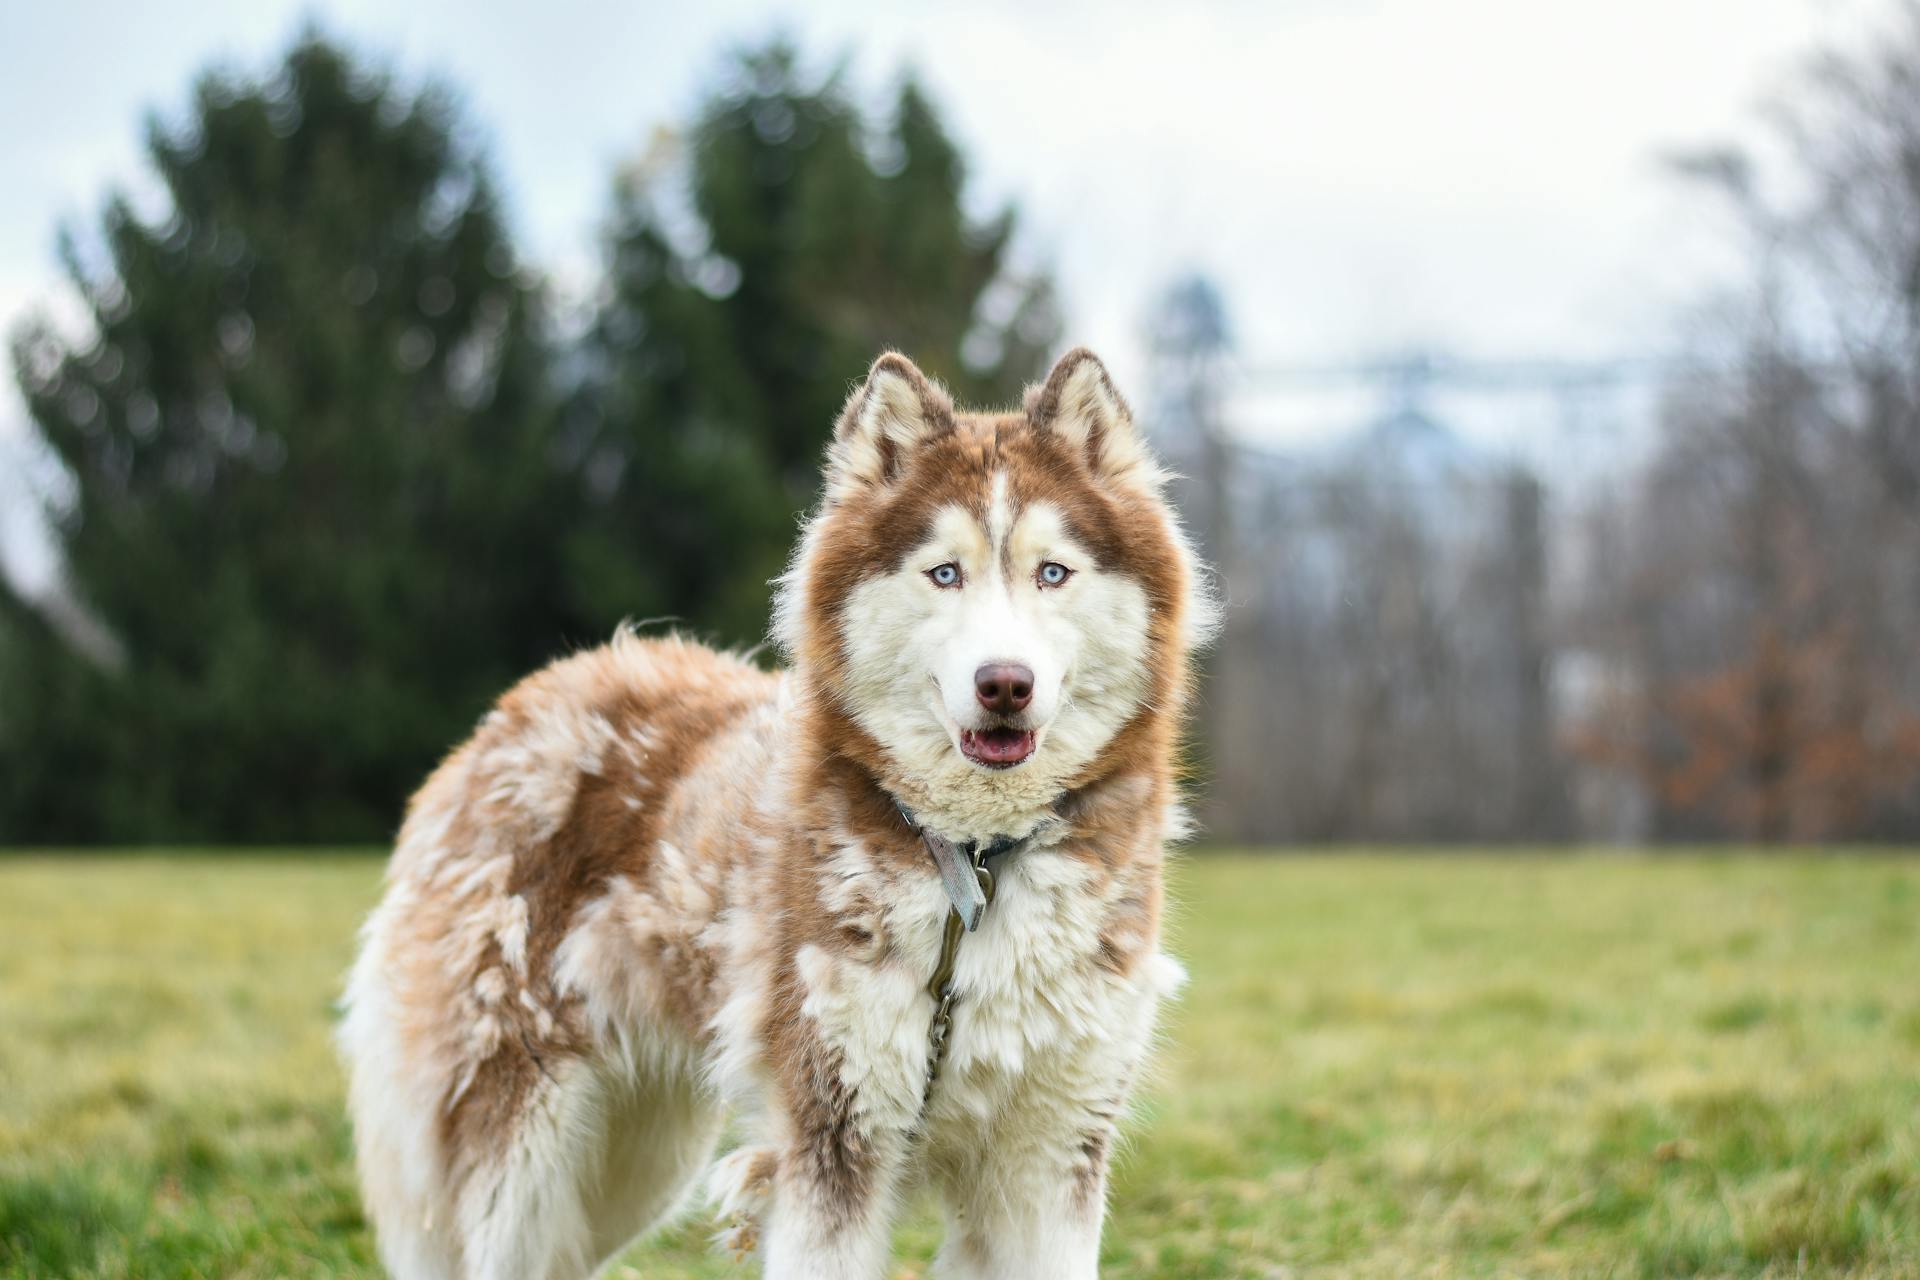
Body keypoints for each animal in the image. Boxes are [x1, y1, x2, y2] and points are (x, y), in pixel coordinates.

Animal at [341, 351, 1213, 1280]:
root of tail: (526, 700)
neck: (976, 861)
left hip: (637, 1160)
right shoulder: (831, 1137)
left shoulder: (1049, 1160)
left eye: (1053, 572)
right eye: (945, 573)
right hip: (526, 1161)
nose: (1004, 683)